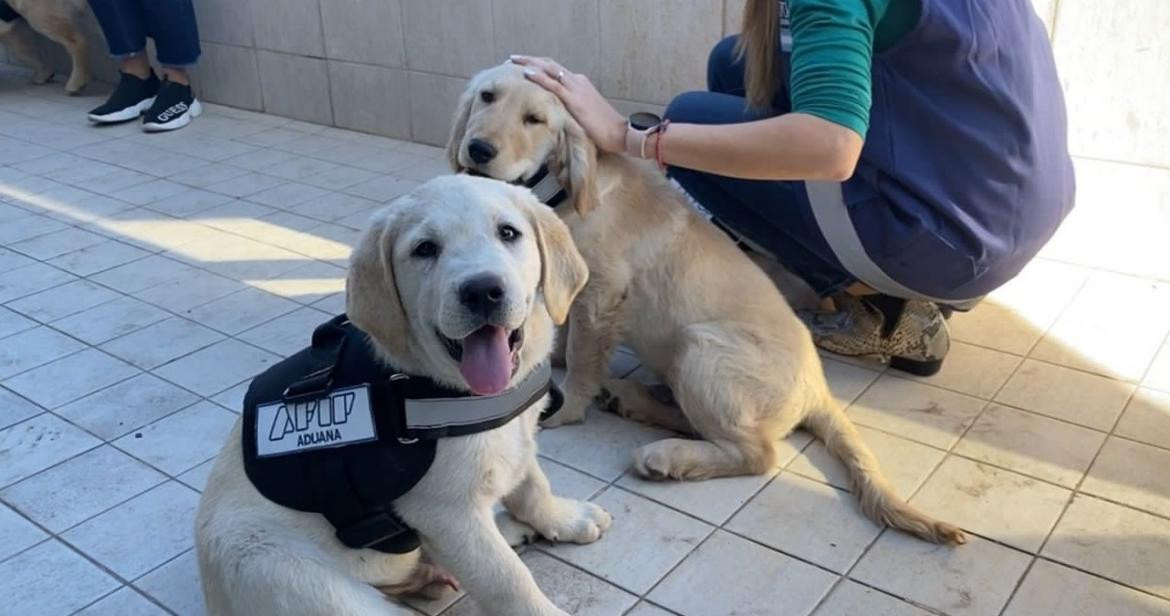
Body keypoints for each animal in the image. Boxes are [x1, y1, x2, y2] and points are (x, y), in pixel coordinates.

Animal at [195, 175, 608, 616]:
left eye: (508, 233)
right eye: (425, 249)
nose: (483, 291)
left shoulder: (517, 437)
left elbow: (532, 487)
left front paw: (563, 518)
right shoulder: (446, 512)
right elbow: (507, 580)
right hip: (304, 580)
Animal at [446, 62, 968, 545]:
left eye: (535, 119)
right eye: (487, 97)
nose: (479, 149)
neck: (560, 193)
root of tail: (819, 388)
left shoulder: (601, 295)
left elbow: (581, 357)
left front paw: (565, 408)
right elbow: (564, 336)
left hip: (701, 346)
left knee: (756, 452)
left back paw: (663, 453)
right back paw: (634, 401)